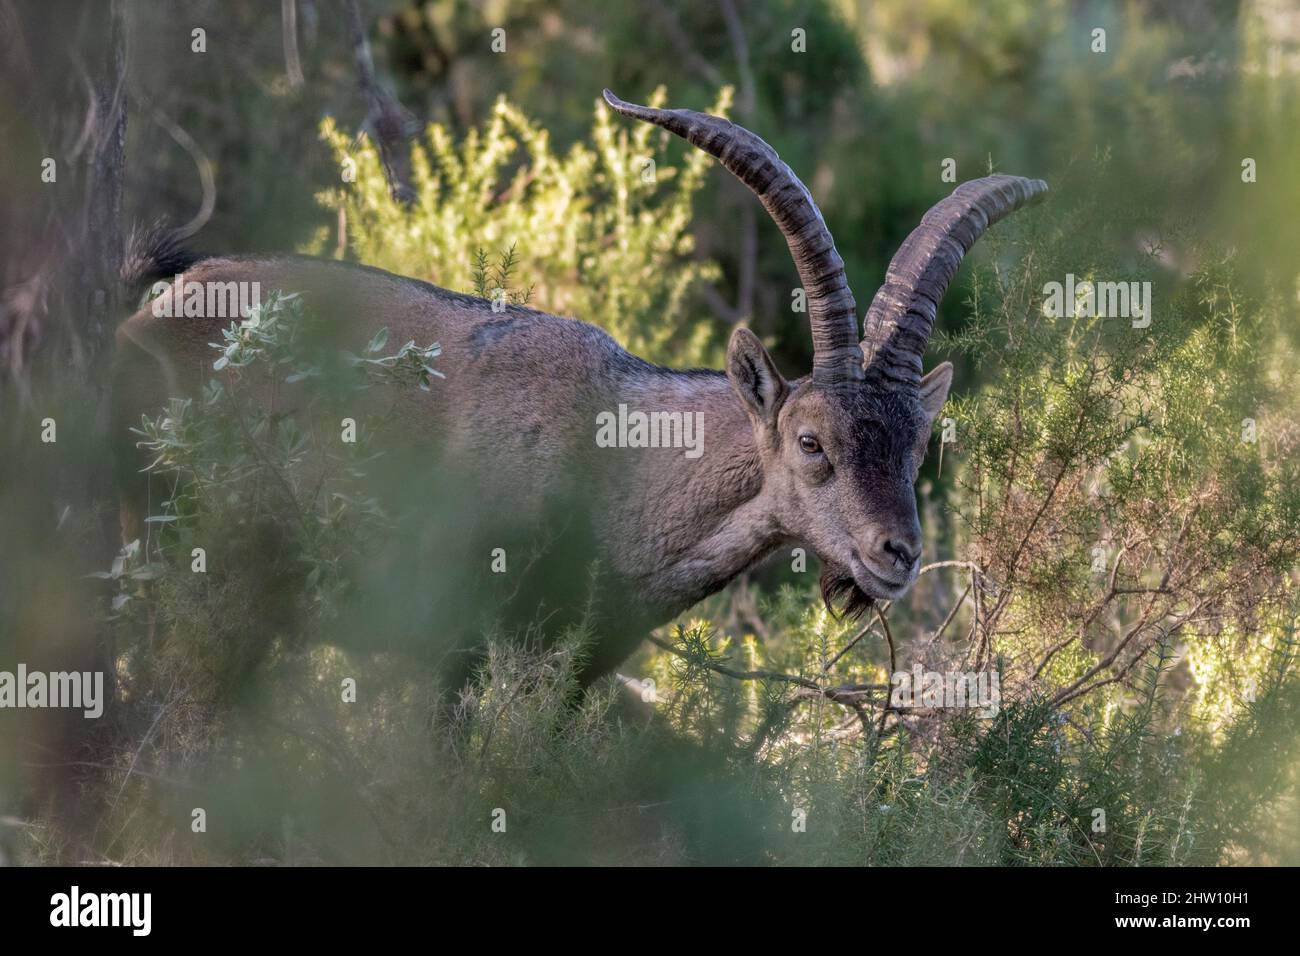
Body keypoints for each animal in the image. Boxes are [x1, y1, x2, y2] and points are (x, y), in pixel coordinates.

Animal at [112, 91, 1046, 688]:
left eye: (918, 444)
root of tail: (156, 305)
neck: (617, 463)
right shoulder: (451, 646)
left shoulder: (576, 671)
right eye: (813, 441)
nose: (899, 555)